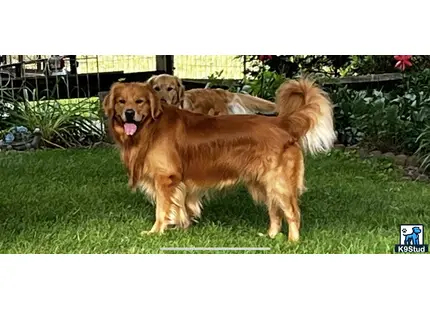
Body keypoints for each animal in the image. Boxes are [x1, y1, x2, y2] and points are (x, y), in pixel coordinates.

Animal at [103, 77, 336, 242]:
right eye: (121, 101)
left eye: (140, 101)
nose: (129, 113)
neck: (151, 126)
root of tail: (281, 123)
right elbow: (179, 207)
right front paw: (181, 228)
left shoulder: (166, 179)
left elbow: (162, 210)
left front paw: (156, 232)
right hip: (263, 182)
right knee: (274, 212)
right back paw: (270, 236)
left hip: (279, 182)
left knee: (293, 212)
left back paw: (292, 242)